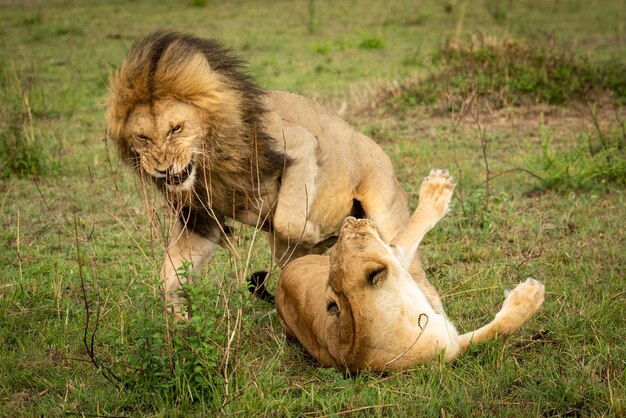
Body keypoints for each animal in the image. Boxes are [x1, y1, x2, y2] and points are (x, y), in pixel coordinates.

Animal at [106, 31, 424, 314]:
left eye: (176, 128)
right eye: (142, 137)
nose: (163, 168)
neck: (209, 163)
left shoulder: (299, 142)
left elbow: (288, 221)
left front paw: (316, 232)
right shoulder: (201, 219)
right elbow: (170, 277)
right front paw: (180, 324)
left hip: (385, 211)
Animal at [272, 170, 540, 372]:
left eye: (342, 241)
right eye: (357, 236)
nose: (351, 219)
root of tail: (286, 271)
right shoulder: (450, 347)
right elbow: (497, 328)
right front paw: (529, 296)